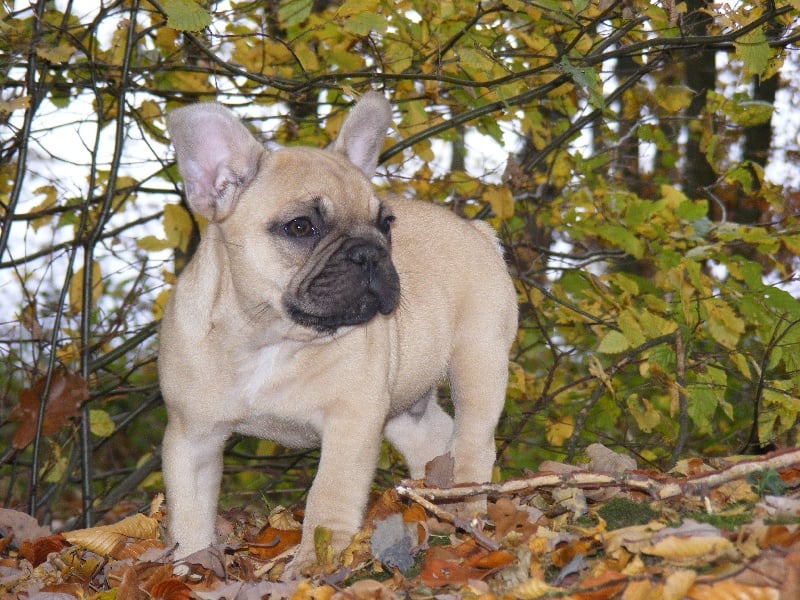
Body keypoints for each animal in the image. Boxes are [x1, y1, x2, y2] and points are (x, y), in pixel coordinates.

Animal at [159, 91, 520, 576]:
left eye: (386, 223)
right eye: (301, 227)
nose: (369, 252)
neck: (268, 336)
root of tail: (476, 230)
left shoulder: (351, 420)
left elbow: (328, 498)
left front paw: (313, 565)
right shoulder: (192, 437)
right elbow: (189, 515)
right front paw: (190, 570)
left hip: (478, 361)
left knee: (473, 440)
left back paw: (467, 510)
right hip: (404, 404)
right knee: (432, 438)